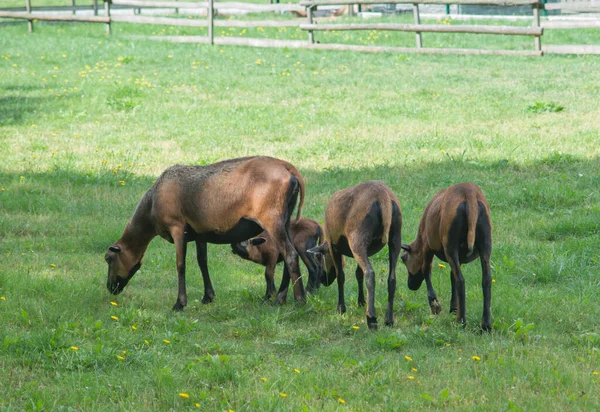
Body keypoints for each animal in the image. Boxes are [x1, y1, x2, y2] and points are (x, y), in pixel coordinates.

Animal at [103, 156, 308, 310]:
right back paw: (282, 298)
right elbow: (203, 262)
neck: (150, 209)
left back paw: (298, 300)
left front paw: (179, 304)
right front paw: (208, 297)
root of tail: (289, 169)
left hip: (272, 218)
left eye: (109, 259)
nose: (110, 288)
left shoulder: (177, 227)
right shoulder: (199, 233)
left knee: (290, 255)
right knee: (288, 256)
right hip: (286, 219)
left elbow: (180, 265)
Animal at [308, 182, 400, 330]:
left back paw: (371, 319)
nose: (323, 281)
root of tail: (383, 196)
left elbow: (341, 276)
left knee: (370, 274)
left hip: (357, 238)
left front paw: (341, 308)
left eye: (318, 257)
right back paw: (389, 320)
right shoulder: (365, 250)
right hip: (395, 236)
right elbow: (358, 274)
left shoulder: (334, 248)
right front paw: (361, 302)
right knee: (391, 278)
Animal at [400, 183, 494, 332]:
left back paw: (461, 322)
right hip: (486, 241)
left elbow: (426, 271)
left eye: (403, 258)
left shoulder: (427, 246)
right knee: (486, 280)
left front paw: (435, 305)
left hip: (450, 243)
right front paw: (454, 308)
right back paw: (486, 325)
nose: (411, 286)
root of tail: (469, 194)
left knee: (461, 280)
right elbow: (451, 277)